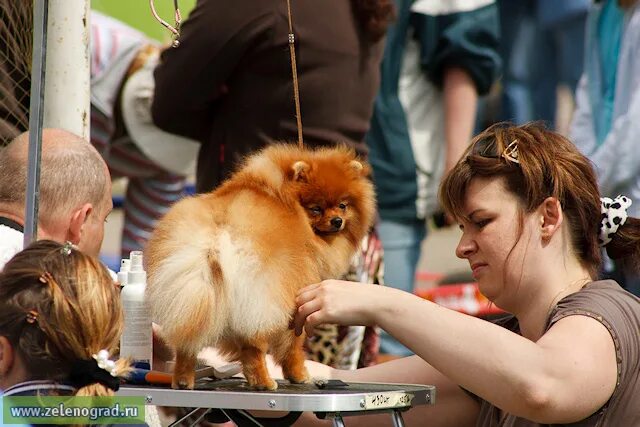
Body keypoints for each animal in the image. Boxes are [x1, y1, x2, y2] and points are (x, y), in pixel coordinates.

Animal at [145, 145, 376, 392]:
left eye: (343, 205)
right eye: (316, 209)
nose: (337, 221)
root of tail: (218, 232)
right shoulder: (296, 300)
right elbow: (293, 346)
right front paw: (299, 375)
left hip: (193, 296)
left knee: (188, 343)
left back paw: (183, 379)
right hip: (262, 299)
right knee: (253, 347)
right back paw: (264, 382)